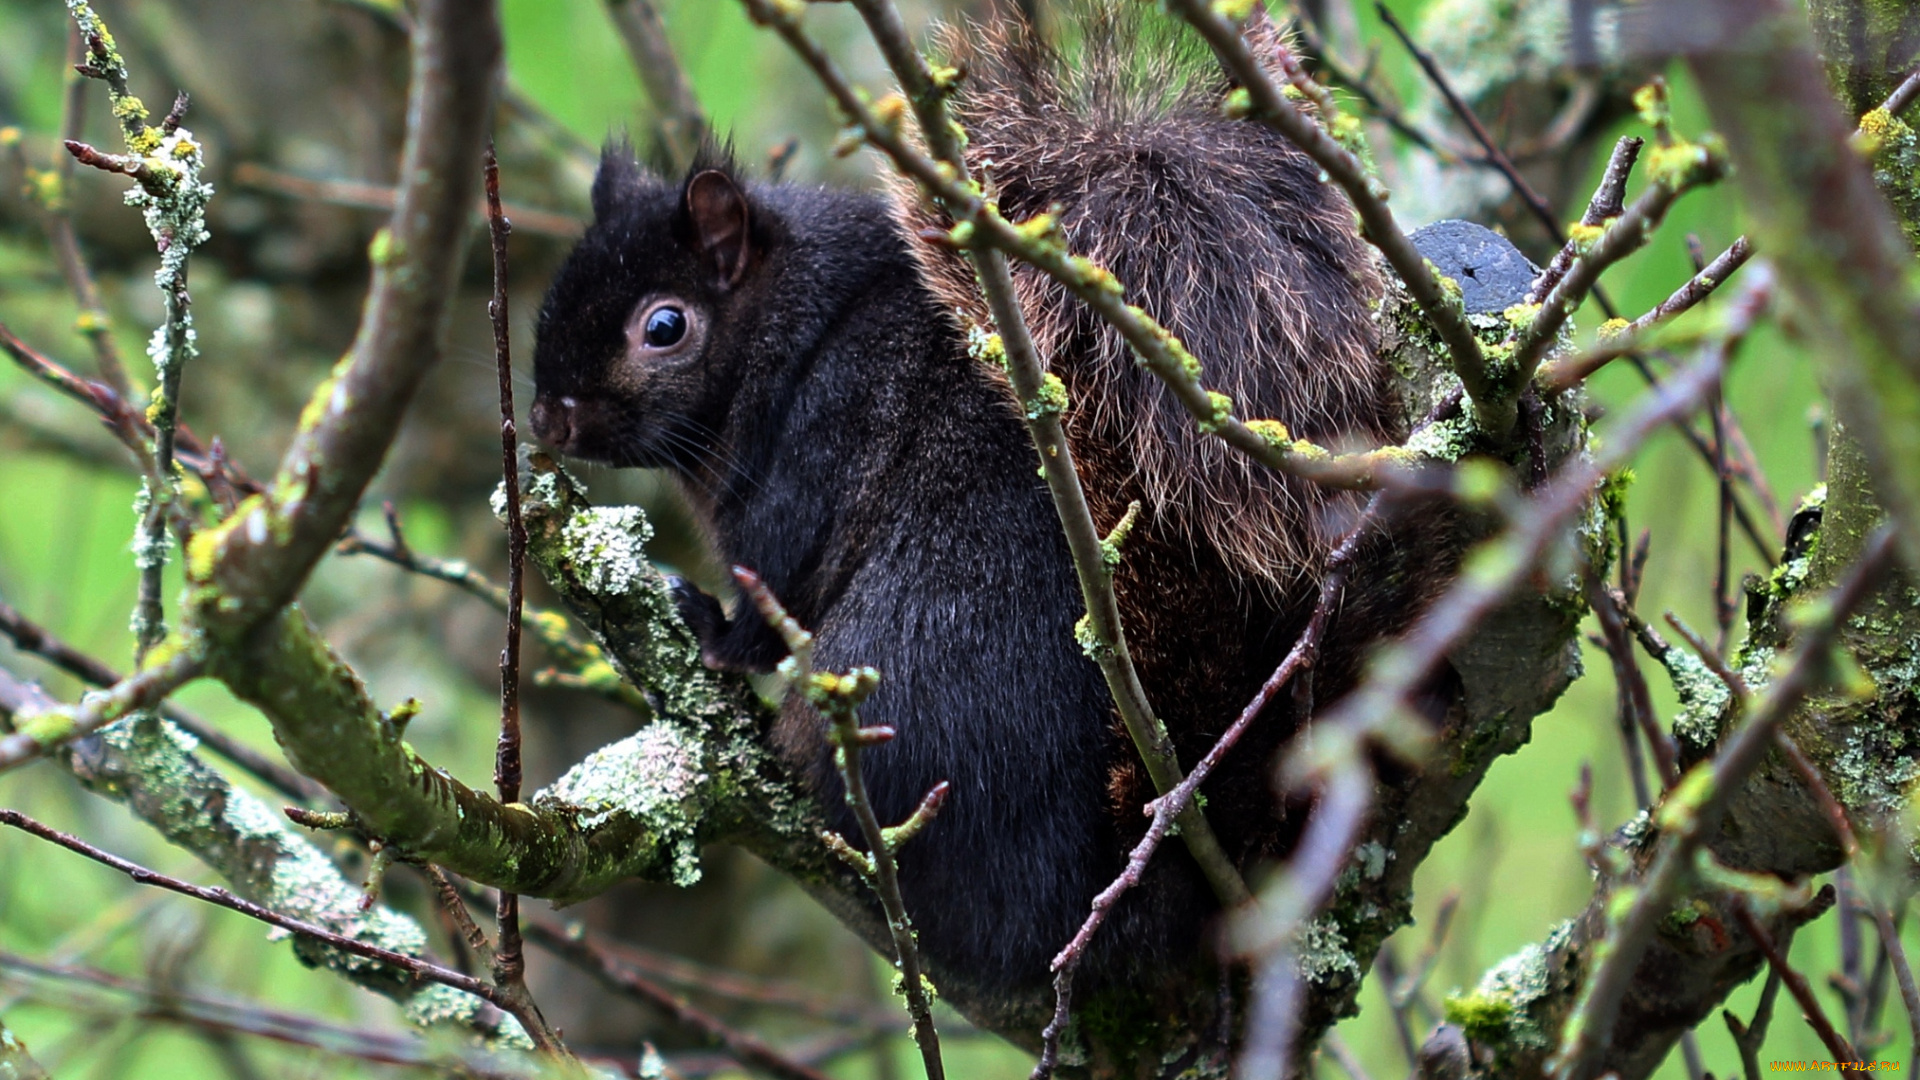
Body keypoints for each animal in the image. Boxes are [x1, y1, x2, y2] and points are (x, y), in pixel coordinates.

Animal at [526, 6, 1443, 1006]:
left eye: (664, 325)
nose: (547, 417)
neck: (786, 329)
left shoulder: (820, 436)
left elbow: (777, 587)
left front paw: (708, 626)